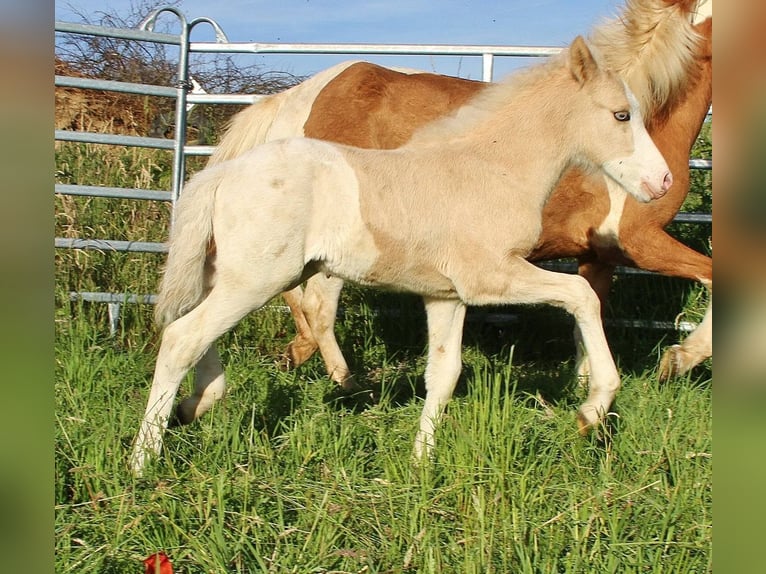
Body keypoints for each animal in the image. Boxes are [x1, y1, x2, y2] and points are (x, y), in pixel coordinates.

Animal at [130, 35, 671, 474]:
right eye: (621, 115)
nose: (661, 182)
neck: (491, 166)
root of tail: (220, 174)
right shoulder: (490, 277)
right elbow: (582, 295)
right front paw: (593, 408)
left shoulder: (446, 297)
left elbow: (444, 374)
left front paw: (420, 462)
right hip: (255, 280)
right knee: (182, 337)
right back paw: (143, 460)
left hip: (232, 276)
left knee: (192, 329)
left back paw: (196, 405)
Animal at [206, 0, 712, 389]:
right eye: (622, 116)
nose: (660, 181)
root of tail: (294, 100)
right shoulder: (639, 241)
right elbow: (708, 276)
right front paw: (677, 359)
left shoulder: (598, 254)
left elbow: (589, 312)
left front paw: (590, 390)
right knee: (316, 304)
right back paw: (346, 380)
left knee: (298, 298)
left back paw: (302, 356)